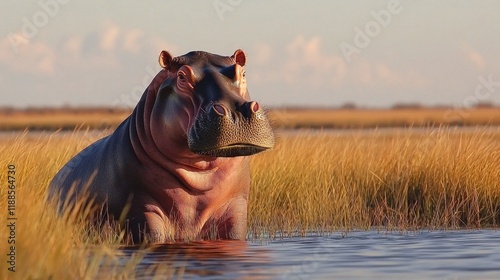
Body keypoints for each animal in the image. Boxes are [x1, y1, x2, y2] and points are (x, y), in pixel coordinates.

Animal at [47, 49, 274, 243]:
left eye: (243, 72)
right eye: (181, 77)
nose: (237, 112)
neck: (200, 173)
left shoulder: (235, 206)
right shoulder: (142, 207)